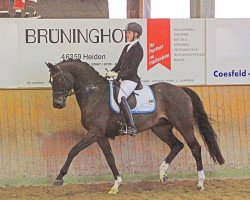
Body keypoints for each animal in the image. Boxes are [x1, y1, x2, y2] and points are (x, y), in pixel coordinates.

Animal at [45, 59, 225, 194]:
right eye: (51, 81)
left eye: (59, 80)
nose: (57, 104)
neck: (94, 94)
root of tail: (181, 90)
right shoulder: (100, 135)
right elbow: (110, 158)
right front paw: (116, 184)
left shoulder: (94, 132)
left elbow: (73, 150)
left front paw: (59, 178)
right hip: (160, 128)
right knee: (177, 145)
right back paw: (162, 174)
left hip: (183, 124)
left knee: (195, 147)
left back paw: (200, 183)